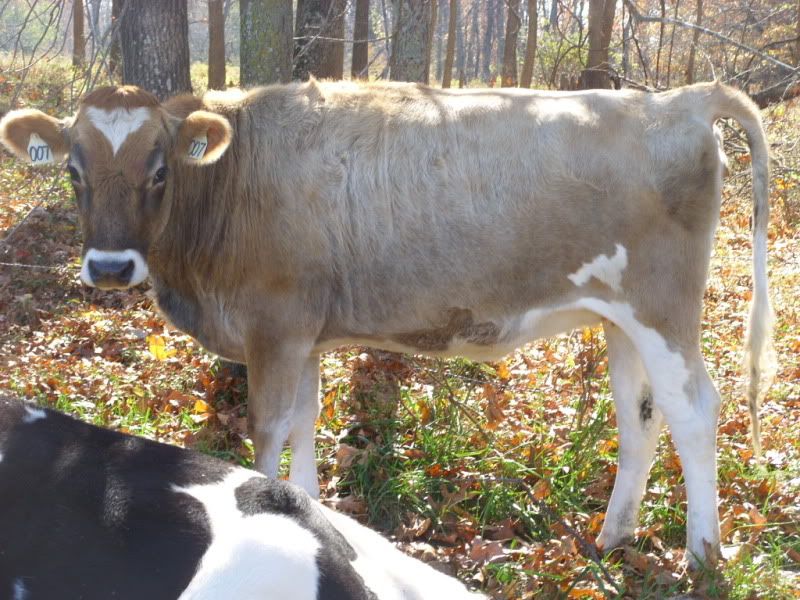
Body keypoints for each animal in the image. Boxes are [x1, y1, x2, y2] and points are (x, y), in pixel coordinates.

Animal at [0, 80, 772, 565]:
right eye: (72, 171)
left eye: (159, 171)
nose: (108, 267)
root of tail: (677, 98)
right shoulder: (304, 333)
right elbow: (305, 423)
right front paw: (311, 513)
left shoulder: (274, 325)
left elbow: (267, 430)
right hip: (619, 319)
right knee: (639, 416)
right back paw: (612, 538)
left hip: (662, 307)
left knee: (695, 409)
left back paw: (703, 554)